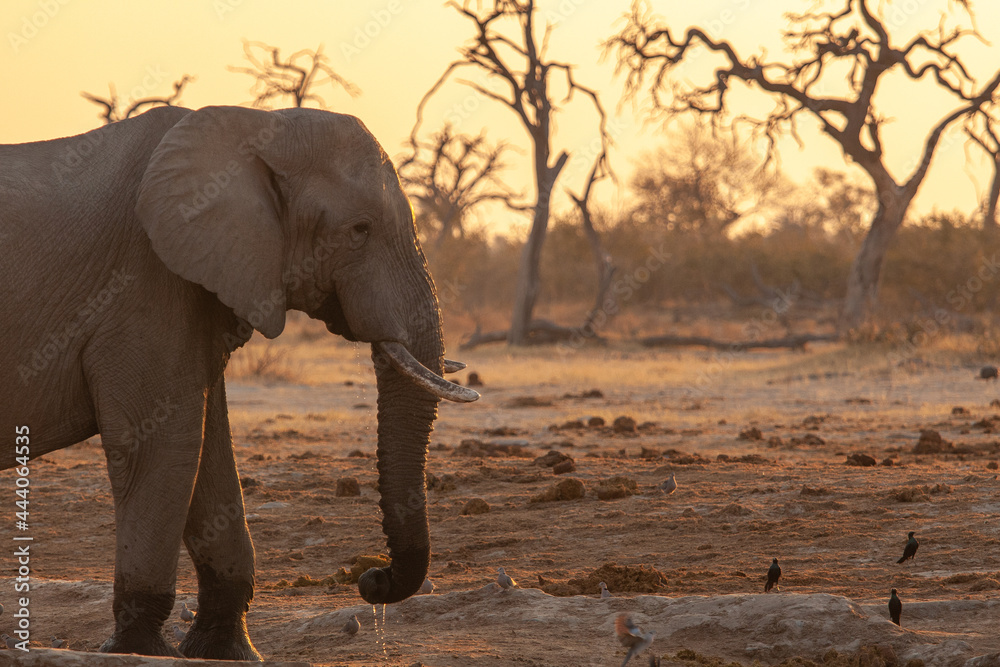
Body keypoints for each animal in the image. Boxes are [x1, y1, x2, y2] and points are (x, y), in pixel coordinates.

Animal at [0, 105, 478, 660]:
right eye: (360, 229)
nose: (372, 579)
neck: (255, 127)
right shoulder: (142, 283)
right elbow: (163, 441)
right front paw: (139, 651)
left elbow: (209, 447)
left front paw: (225, 651)